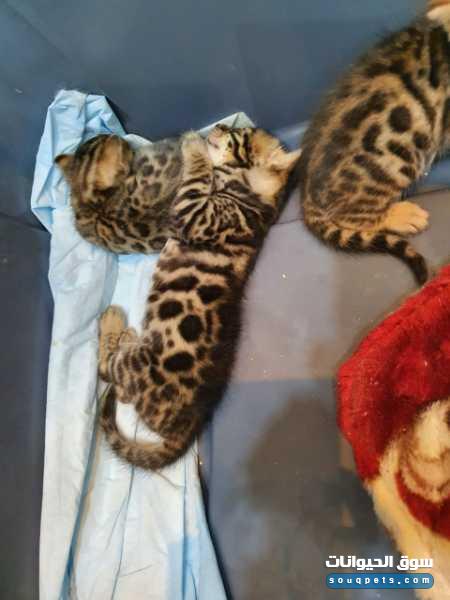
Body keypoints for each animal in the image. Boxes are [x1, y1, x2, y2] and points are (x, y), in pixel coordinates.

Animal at [97, 126, 300, 470]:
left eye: (238, 133)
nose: (217, 127)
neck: (251, 197)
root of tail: (189, 424)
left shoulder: (195, 213)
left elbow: (196, 177)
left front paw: (193, 145)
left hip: (133, 365)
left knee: (106, 369)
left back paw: (113, 322)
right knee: (122, 393)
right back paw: (128, 335)